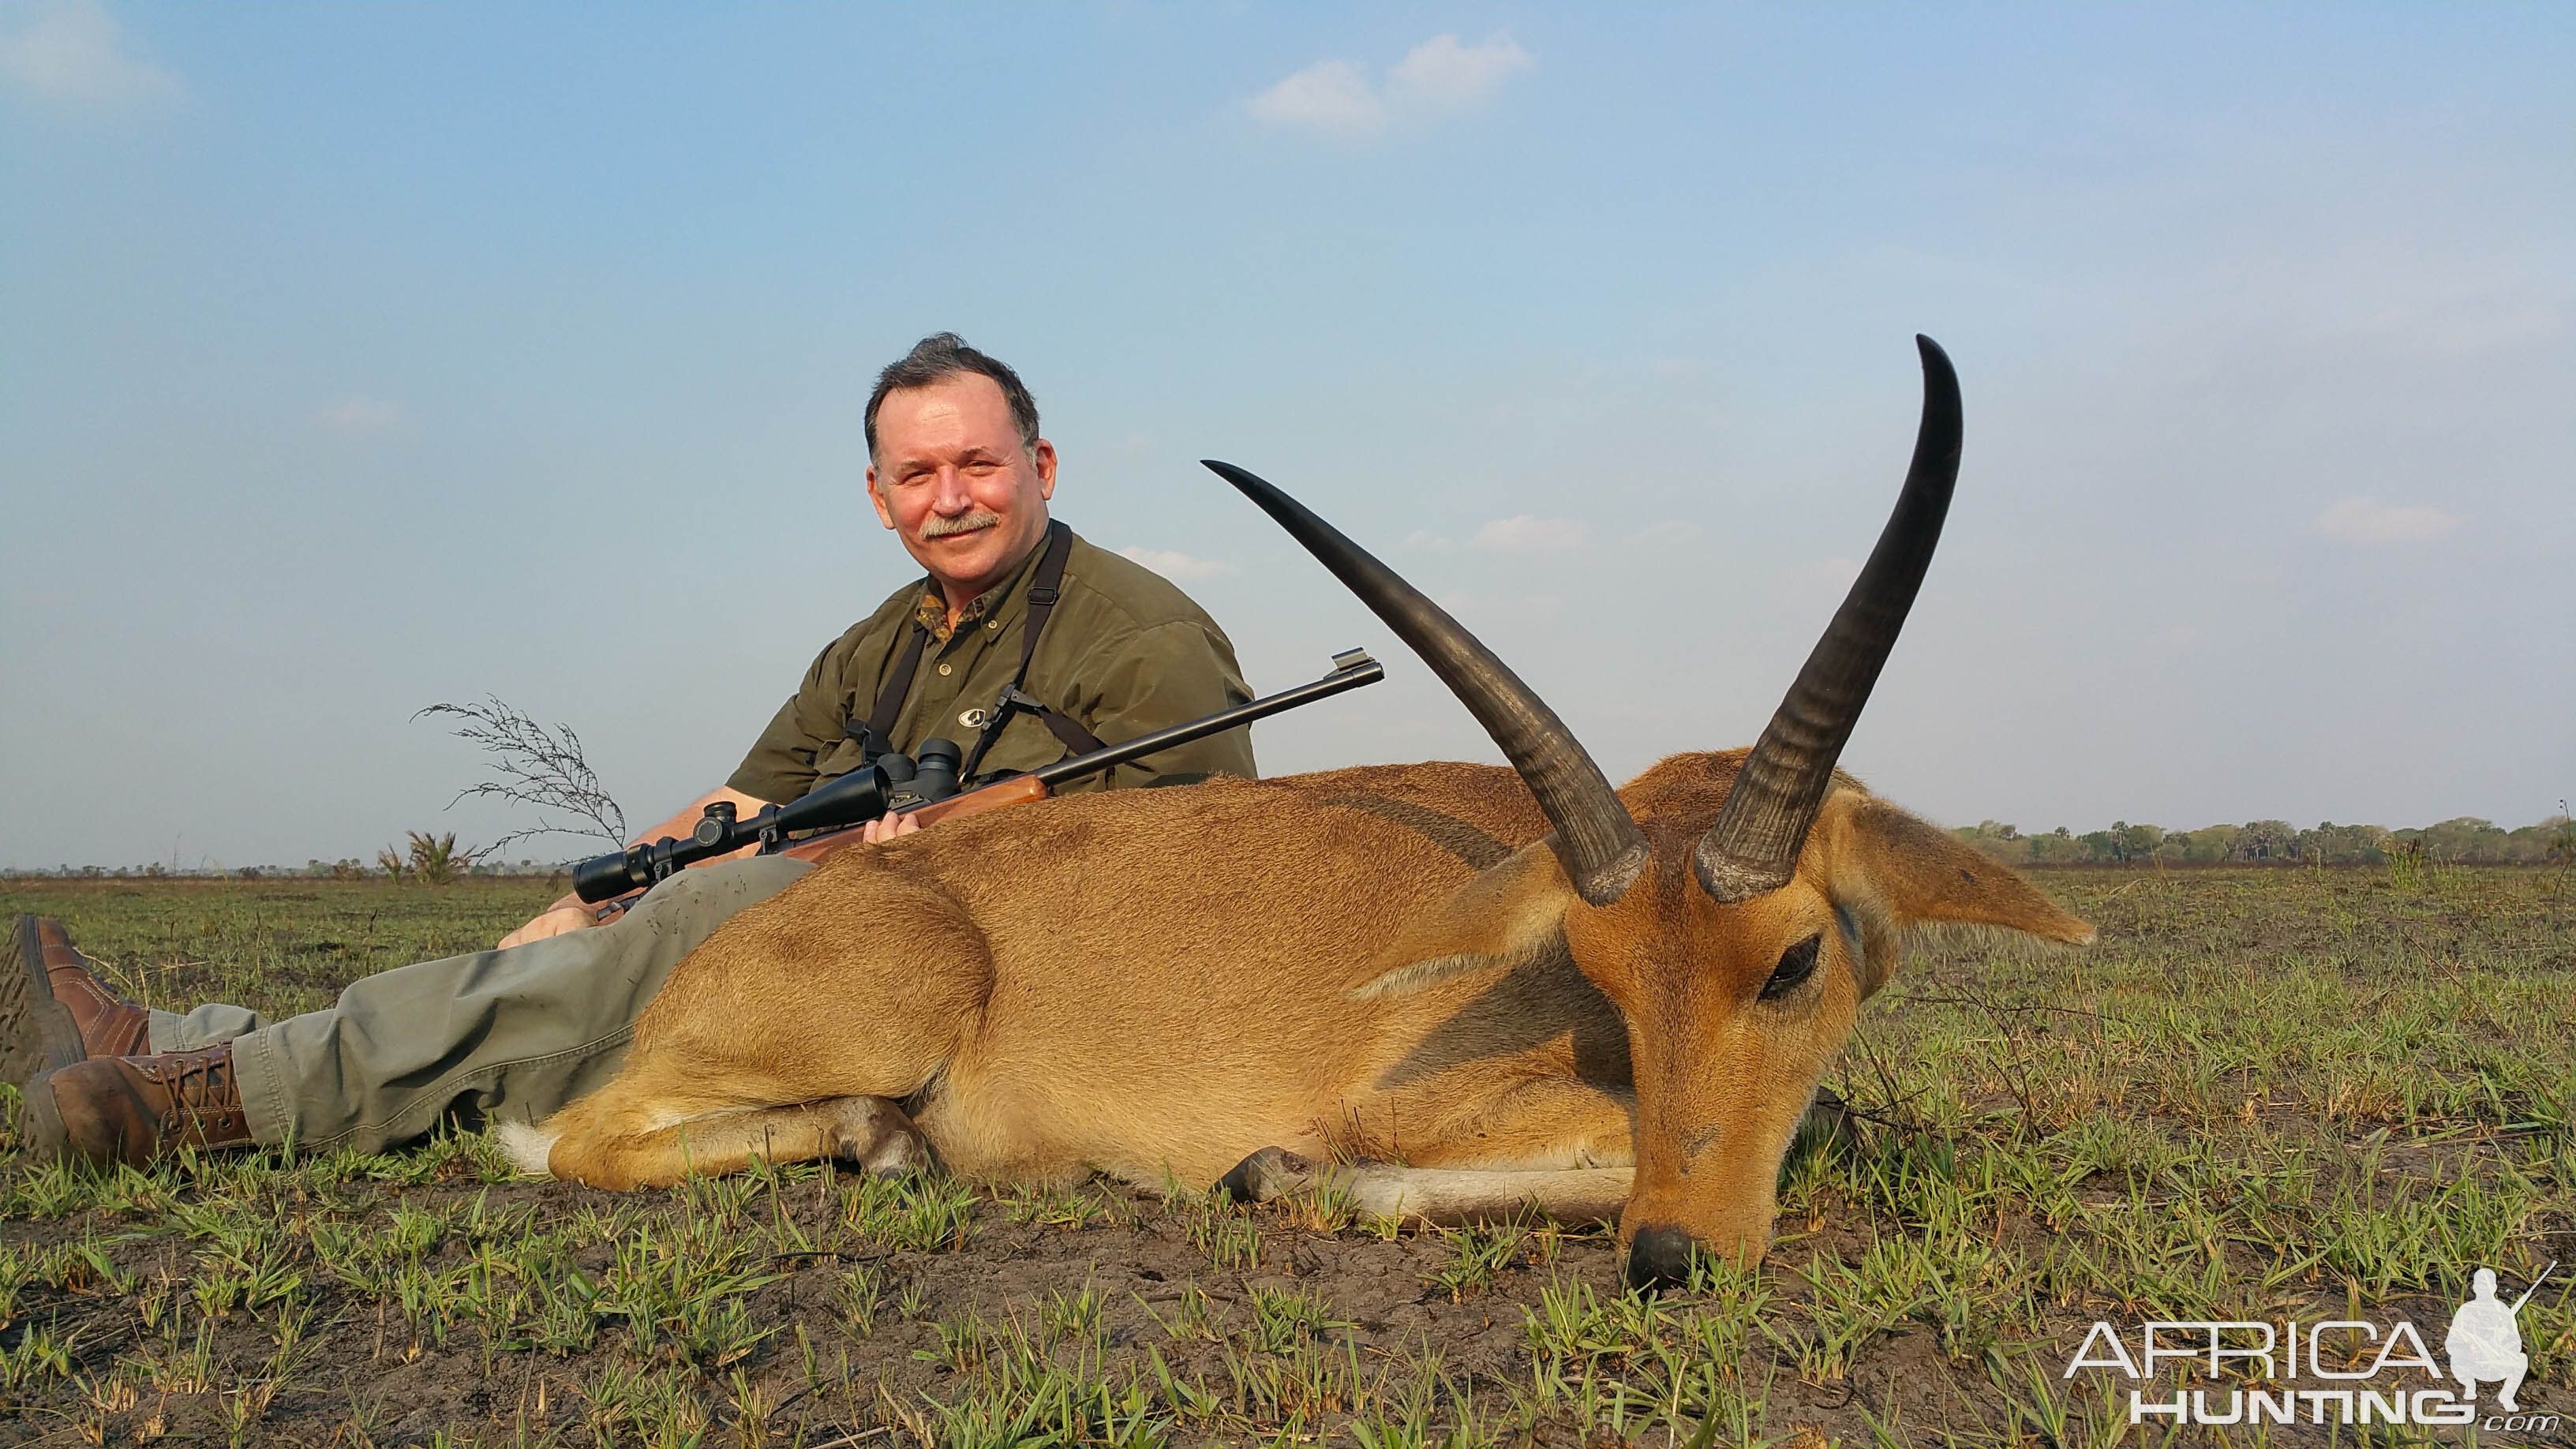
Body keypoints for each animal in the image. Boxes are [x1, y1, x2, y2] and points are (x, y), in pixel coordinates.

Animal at [502, 337, 2091, 1283]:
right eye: (1598, 968)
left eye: (1793, 958)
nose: (1672, 1254)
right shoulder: (1434, 1103)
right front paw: (1282, 1172)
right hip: (884, 1005)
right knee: (565, 1136)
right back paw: (879, 1141)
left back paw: (885, 1141)